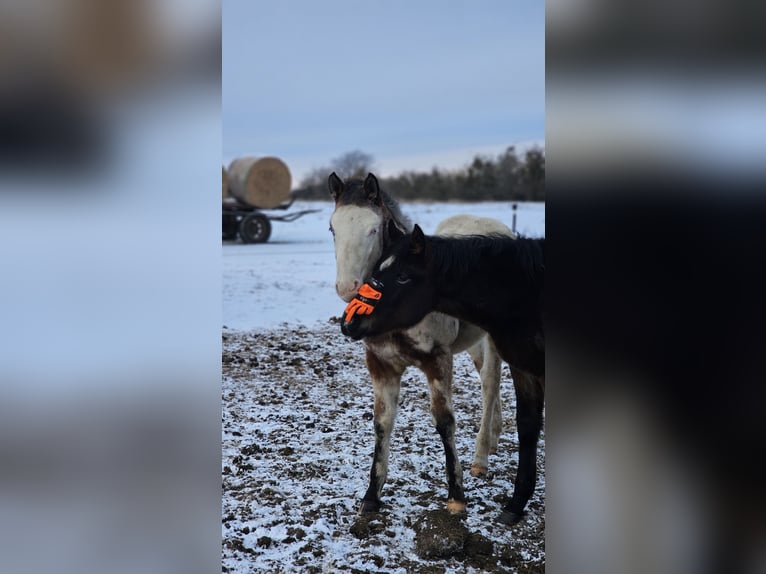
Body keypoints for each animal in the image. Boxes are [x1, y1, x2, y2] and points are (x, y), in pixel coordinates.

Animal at [328, 172, 515, 516]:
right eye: (333, 228)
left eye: (373, 228)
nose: (347, 288)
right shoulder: (381, 365)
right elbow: (382, 422)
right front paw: (371, 497)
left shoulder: (437, 360)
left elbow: (444, 422)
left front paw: (456, 497)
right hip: (472, 342)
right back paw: (494, 438)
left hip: (494, 337)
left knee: (490, 383)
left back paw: (481, 457)